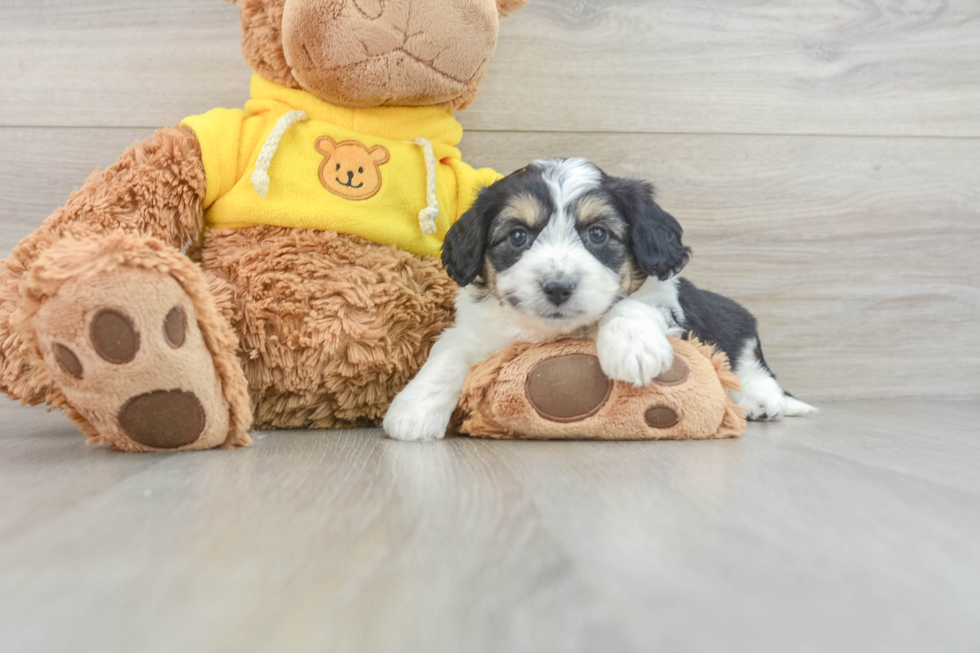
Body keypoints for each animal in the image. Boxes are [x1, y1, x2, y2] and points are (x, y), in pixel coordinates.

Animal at [382, 159, 812, 440]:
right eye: (518, 236)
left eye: (598, 234)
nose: (558, 287)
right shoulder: (476, 328)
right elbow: (448, 353)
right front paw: (414, 409)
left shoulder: (665, 302)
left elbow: (630, 304)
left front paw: (632, 349)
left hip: (739, 330)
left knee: (756, 373)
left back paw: (760, 403)